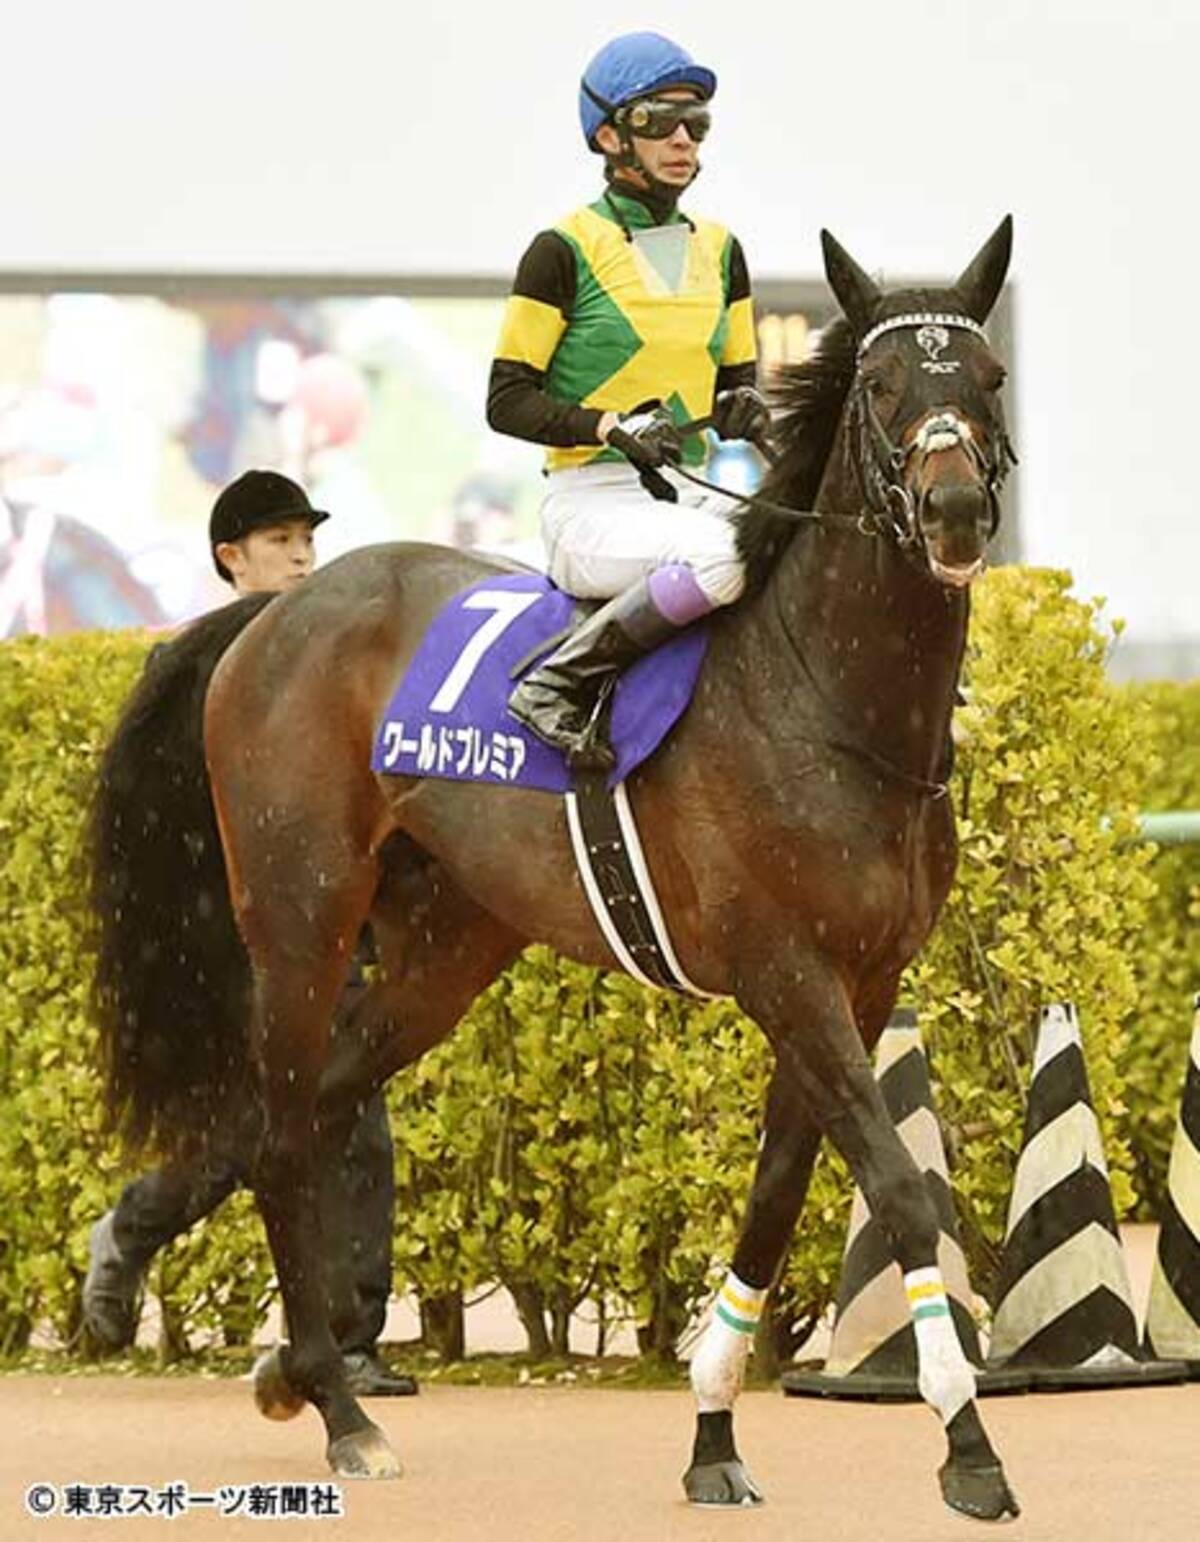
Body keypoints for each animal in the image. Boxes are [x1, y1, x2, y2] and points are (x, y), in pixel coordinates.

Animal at [89, 218, 1019, 1521]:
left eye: (986, 377)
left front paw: (713, 1433)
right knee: (280, 1128)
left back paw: (225, 1323)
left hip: (447, 946)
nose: (953, 510)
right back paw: (339, 1411)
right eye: (883, 386)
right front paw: (969, 1446)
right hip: (300, 917)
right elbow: (898, 1187)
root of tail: (272, 613)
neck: (830, 702)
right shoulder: (787, 973)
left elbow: (777, 1197)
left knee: (311, 1106)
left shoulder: (858, 980)